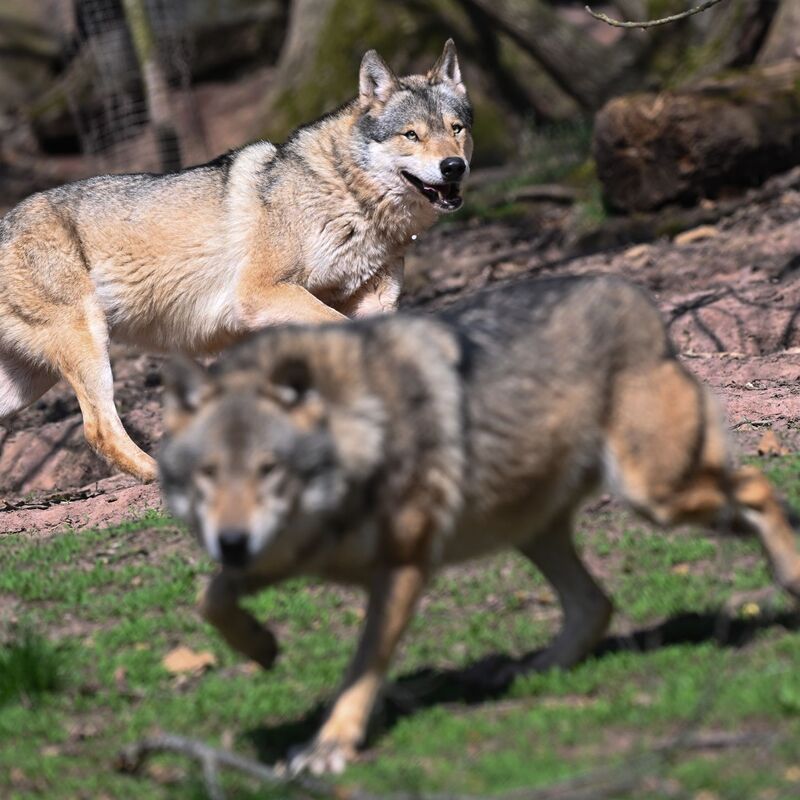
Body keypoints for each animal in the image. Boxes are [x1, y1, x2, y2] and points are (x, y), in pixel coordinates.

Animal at [0, 40, 472, 482]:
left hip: (26, 386)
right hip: (90, 350)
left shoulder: (373, 305)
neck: (349, 198)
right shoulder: (262, 294)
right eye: (411, 135)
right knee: (98, 429)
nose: (455, 166)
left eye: (457, 128)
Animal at [158, 274, 800, 774]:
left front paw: (329, 747)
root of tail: (630, 294)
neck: (359, 434)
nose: (232, 541)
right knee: (597, 604)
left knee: (757, 488)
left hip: (655, 496)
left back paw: (790, 577)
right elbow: (209, 598)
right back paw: (534, 672)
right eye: (208, 475)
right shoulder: (283, 554)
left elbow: (361, 669)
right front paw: (262, 647)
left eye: (269, 470)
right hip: (535, 528)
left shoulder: (403, 567)